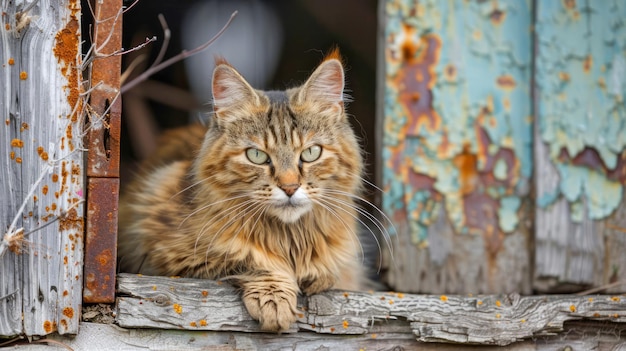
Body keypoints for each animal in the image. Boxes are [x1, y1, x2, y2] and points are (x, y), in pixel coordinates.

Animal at [118, 49, 366, 332]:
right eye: (256, 156)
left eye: (311, 153)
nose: (290, 187)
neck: (290, 238)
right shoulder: (159, 249)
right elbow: (247, 260)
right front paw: (274, 298)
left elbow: (333, 270)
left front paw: (317, 274)